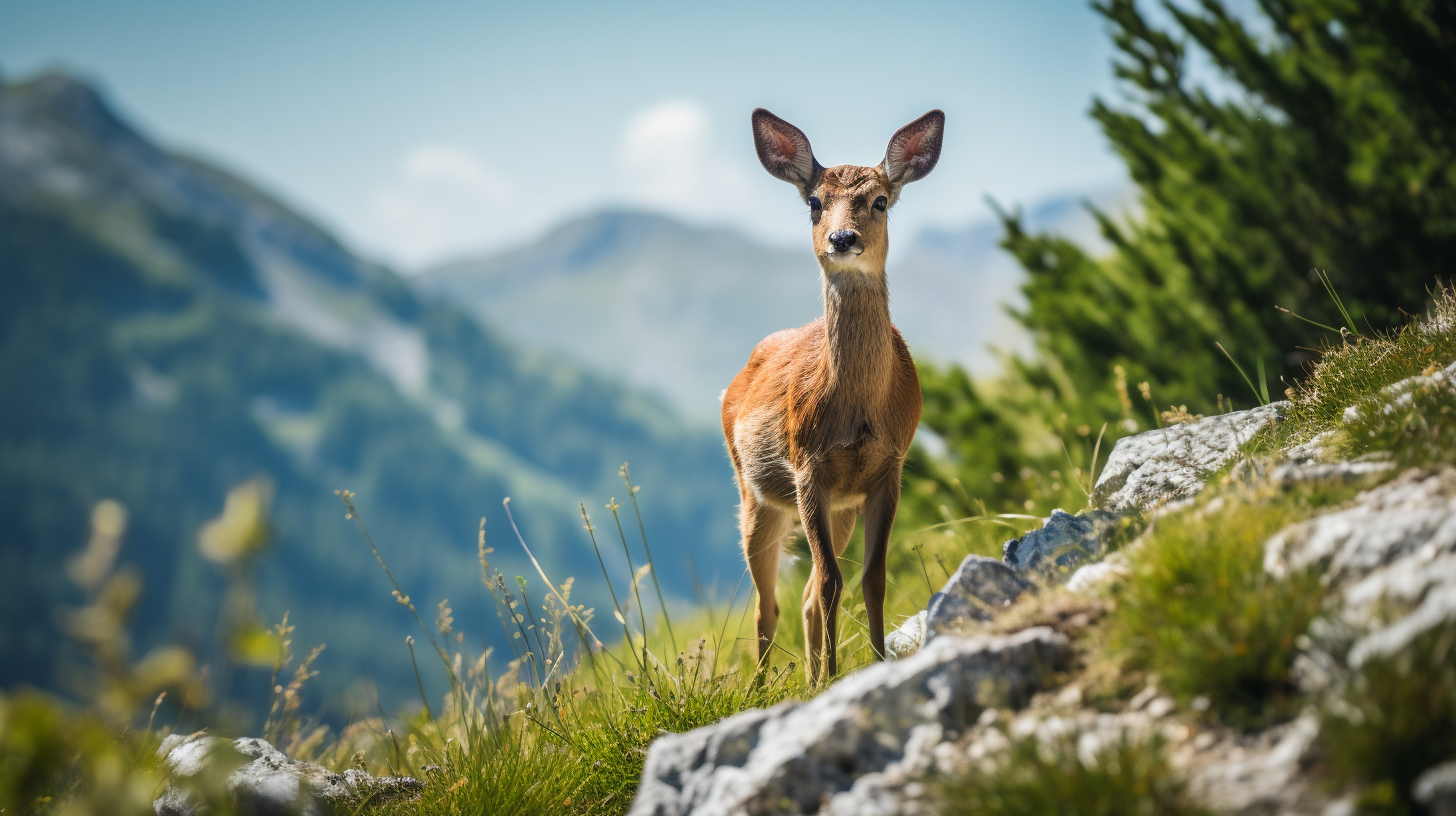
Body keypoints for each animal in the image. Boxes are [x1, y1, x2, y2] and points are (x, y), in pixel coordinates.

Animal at [719, 108, 943, 681]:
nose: (842, 238)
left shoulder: (889, 467)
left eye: (880, 200)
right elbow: (830, 582)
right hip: (755, 494)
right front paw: (838, 675)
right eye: (814, 202)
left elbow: (872, 578)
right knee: (768, 602)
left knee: (801, 598)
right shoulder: (808, 467)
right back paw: (763, 686)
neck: (859, 413)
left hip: (837, 507)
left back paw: (813, 674)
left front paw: (877, 661)